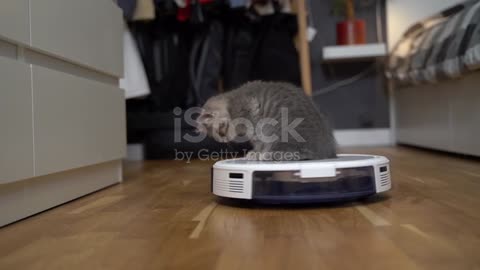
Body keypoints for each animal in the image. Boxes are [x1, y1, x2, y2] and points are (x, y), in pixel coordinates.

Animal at [196, 80, 338, 160]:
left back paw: (268, 155)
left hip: (286, 134)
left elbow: (260, 143)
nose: (225, 140)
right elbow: (259, 143)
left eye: (221, 131)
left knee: (299, 153)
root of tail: (328, 151)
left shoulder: (252, 120)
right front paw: (255, 153)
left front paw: (257, 153)